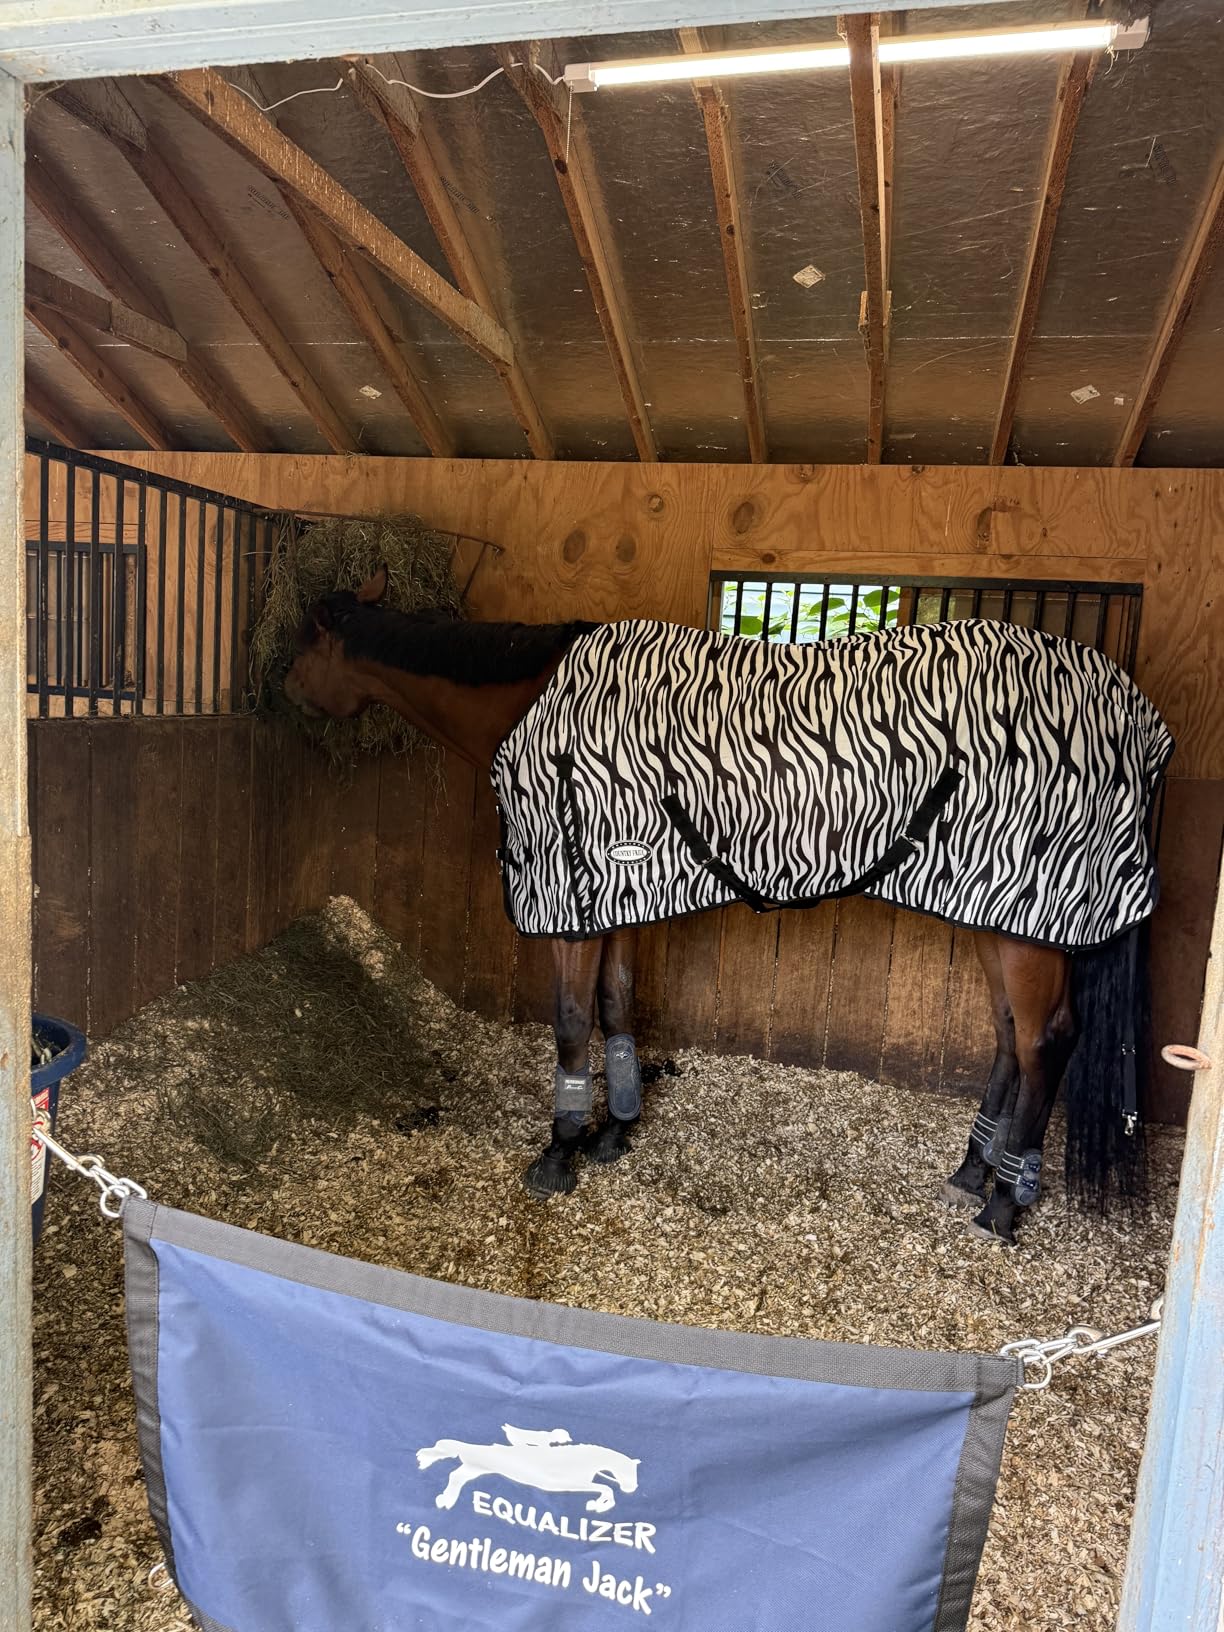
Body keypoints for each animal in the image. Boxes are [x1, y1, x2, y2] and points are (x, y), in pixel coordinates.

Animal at [284, 568, 1172, 1248]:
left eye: (303, 644)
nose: (281, 692)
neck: (539, 700)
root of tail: (1134, 714)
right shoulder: (621, 895)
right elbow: (616, 1004)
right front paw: (617, 1129)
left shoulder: (573, 900)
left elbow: (570, 1020)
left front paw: (560, 1150)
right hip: (996, 913)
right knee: (1010, 1036)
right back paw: (971, 1171)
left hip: (1028, 928)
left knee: (1045, 1042)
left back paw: (1004, 1204)